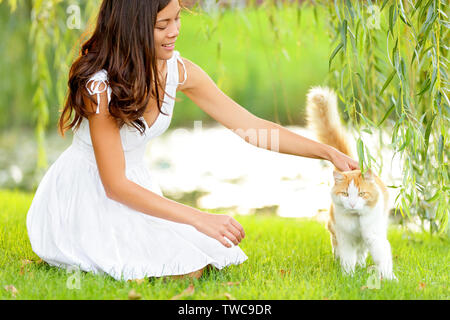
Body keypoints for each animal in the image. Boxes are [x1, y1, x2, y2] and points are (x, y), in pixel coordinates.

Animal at [306, 85, 398, 280]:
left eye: (362, 194)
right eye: (345, 194)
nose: (353, 203)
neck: (357, 219)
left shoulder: (375, 237)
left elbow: (383, 259)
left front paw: (389, 279)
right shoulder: (345, 238)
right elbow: (347, 259)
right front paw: (347, 277)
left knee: (362, 252)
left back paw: (362, 265)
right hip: (334, 230)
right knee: (338, 248)